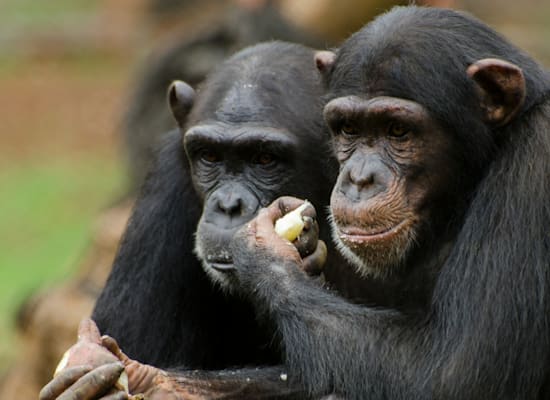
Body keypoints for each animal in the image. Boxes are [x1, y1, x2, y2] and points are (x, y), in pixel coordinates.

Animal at [222, 6, 548, 400]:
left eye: (397, 131)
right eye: (348, 128)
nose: (359, 178)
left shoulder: (537, 162)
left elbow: (455, 373)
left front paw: (265, 251)